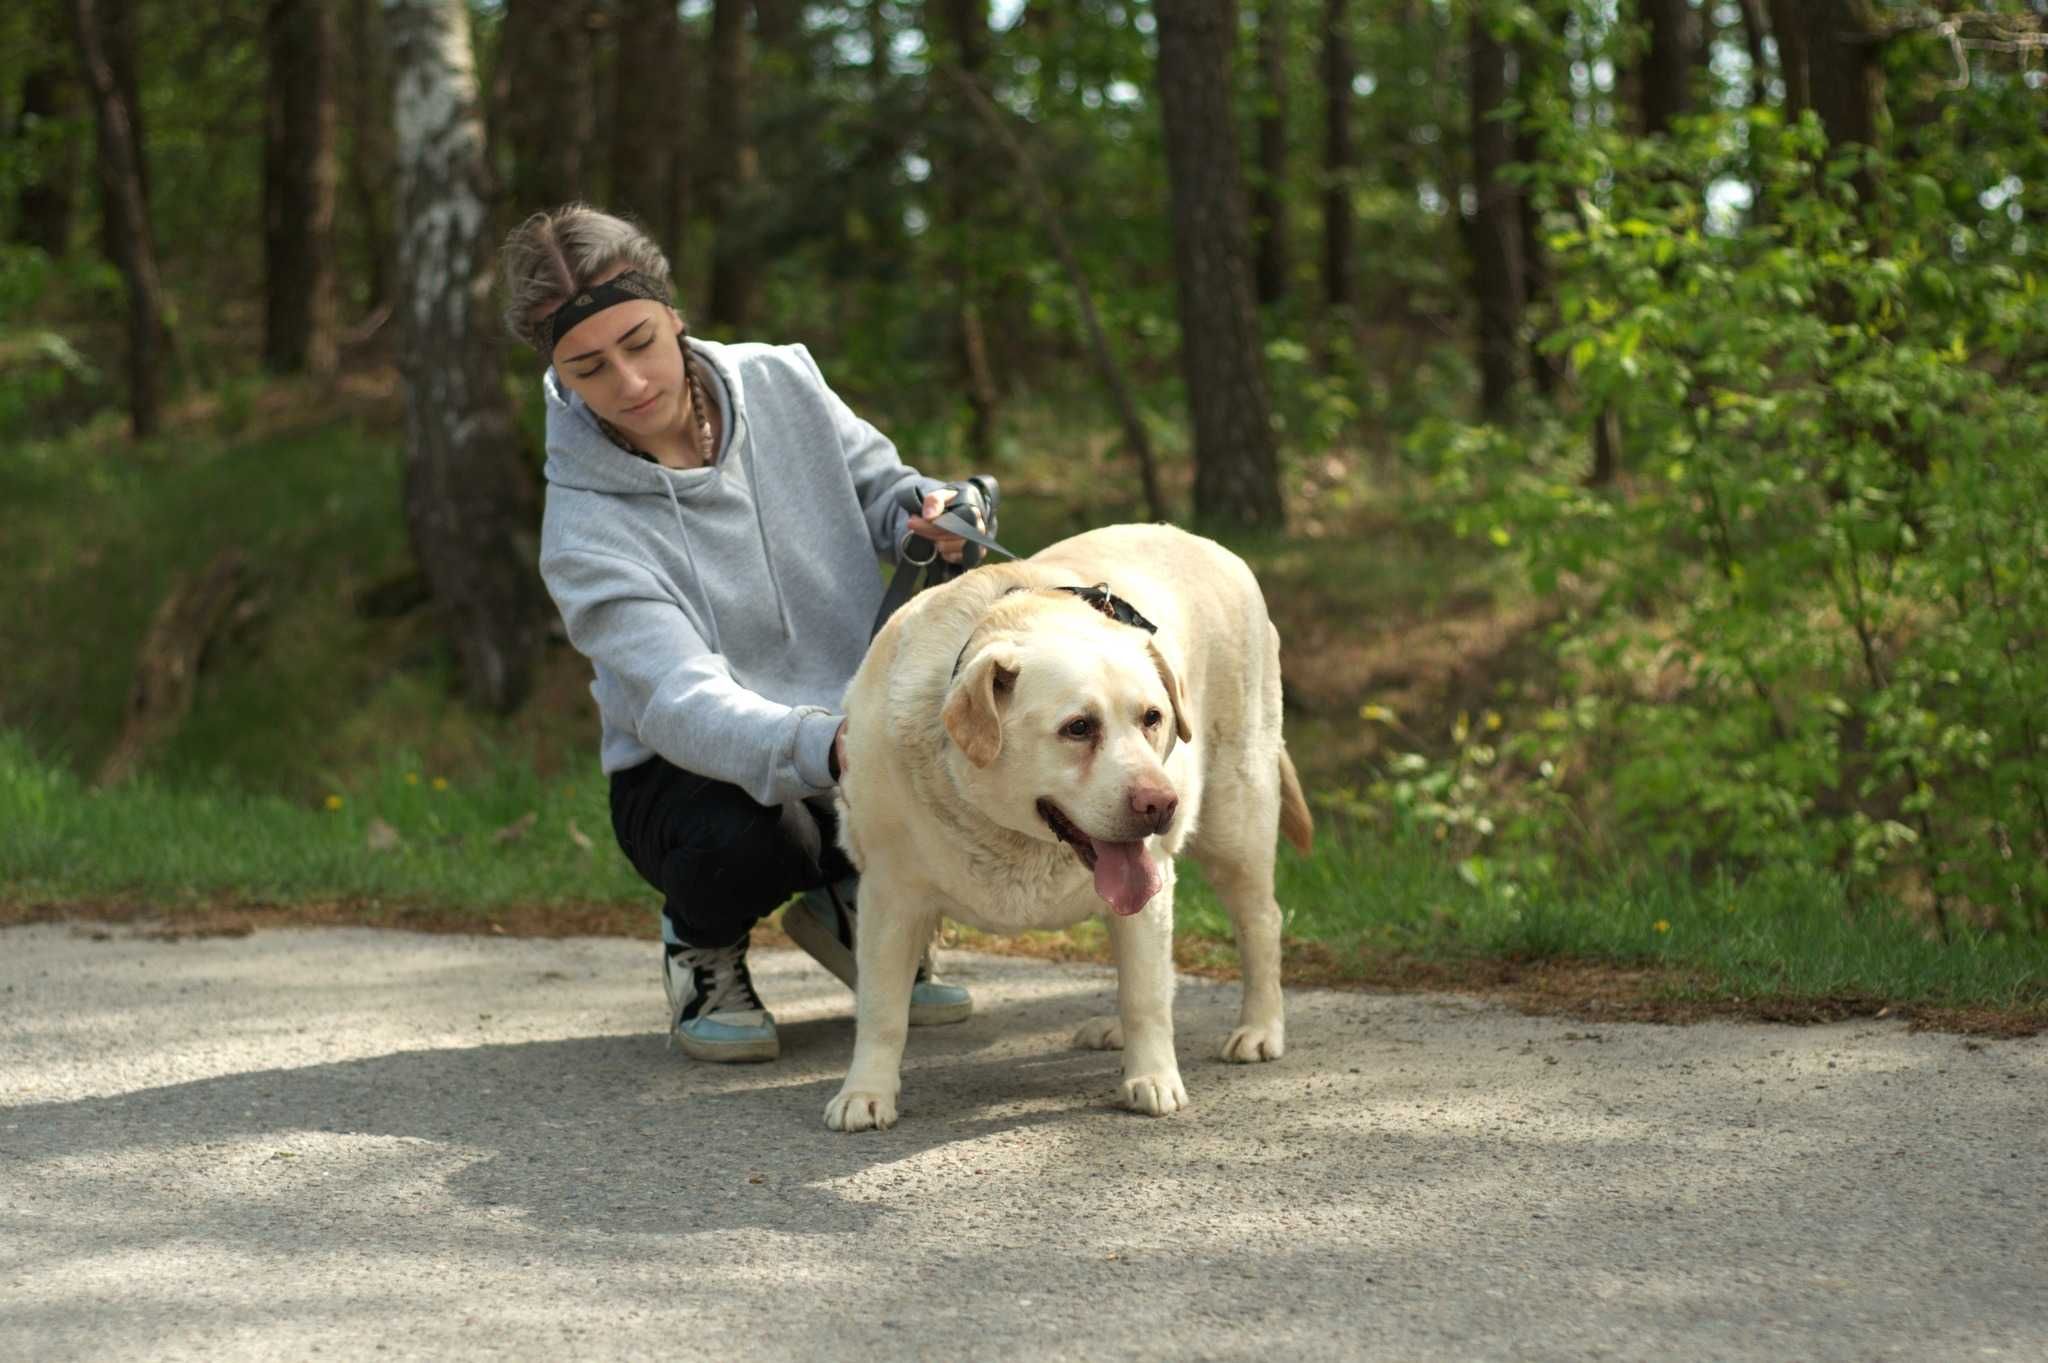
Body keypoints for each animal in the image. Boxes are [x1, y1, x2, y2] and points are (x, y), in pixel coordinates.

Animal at [827, 519, 1318, 1121]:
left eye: (1152, 717)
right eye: (1078, 727)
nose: (1162, 804)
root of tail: (1211, 545)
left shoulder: (1152, 879)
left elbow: (1145, 996)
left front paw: (1153, 1077)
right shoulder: (888, 893)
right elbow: (880, 1008)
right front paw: (865, 1092)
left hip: (1236, 822)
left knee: (1259, 923)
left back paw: (1259, 1028)